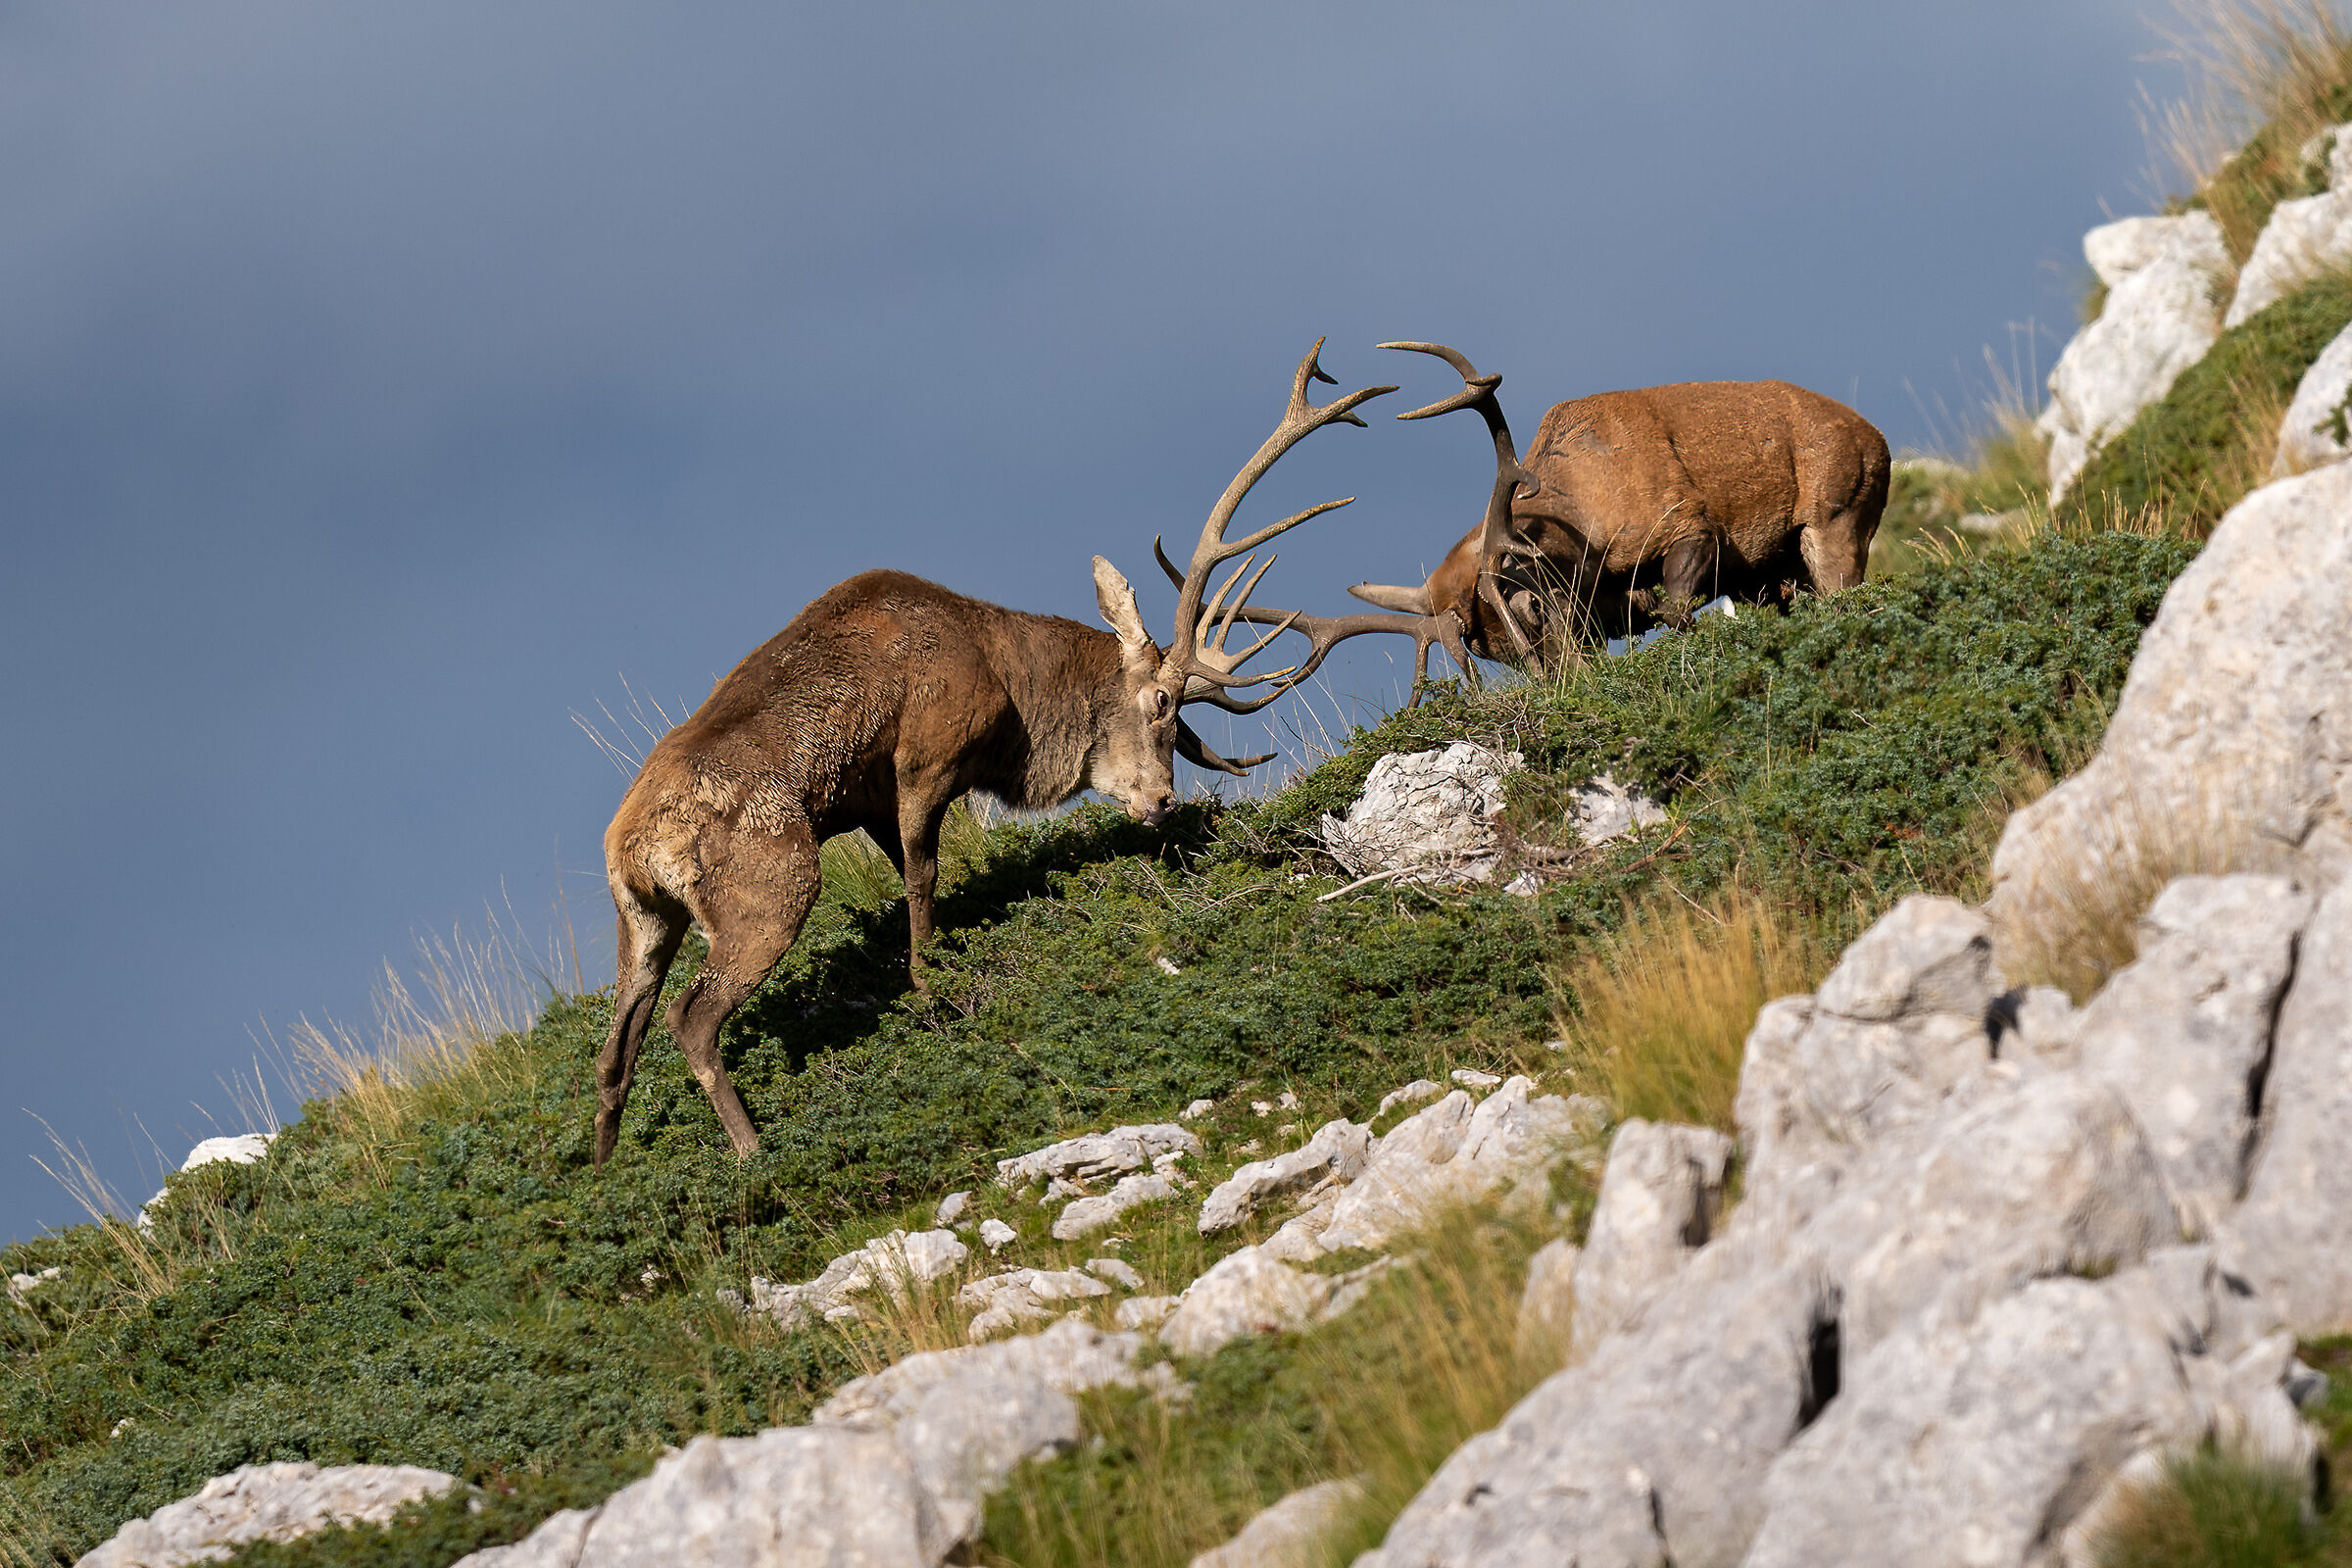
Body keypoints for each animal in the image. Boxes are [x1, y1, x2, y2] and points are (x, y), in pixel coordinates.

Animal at [592, 343, 1465, 1164]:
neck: (1012, 697)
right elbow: (922, 877)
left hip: (643, 921)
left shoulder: (870, 798)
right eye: (1161, 703)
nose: (1163, 801)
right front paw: (930, 987)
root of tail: (630, 847)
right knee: (690, 1017)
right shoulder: (927, 758)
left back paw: (601, 1165)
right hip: (771, 885)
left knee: (616, 1047)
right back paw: (750, 1150)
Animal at [1348, 344, 1892, 665]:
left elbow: (1677, 610)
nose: (1566, 684)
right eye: (1487, 653)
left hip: (1838, 519)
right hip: (1770, 575)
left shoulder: (1688, 523)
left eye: (1533, 610)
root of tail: (1880, 443)